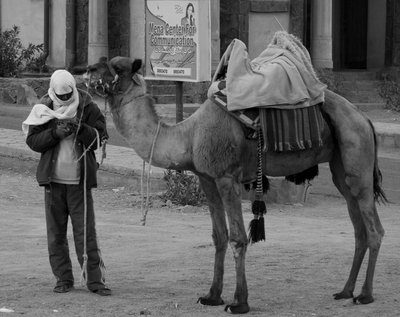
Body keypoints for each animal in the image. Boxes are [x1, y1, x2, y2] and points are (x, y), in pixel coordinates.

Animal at [83, 55, 388, 312]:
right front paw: (212, 296)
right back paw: (345, 291)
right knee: (358, 226)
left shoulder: (227, 177)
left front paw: (240, 302)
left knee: (374, 228)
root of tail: (364, 118)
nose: (88, 69)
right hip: (341, 167)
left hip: (356, 150)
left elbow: (238, 237)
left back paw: (365, 295)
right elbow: (218, 236)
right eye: (104, 60)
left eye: (117, 66)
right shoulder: (206, 178)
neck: (189, 134)